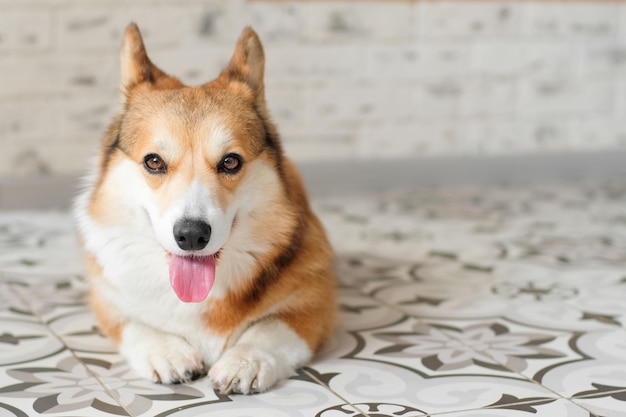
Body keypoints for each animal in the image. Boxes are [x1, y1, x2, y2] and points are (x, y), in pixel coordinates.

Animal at [72, 23, 334, 394]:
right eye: (154, 162)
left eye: (230, 161)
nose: (192, 235)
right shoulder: (108, 301)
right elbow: (135, 323)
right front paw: (166, 352)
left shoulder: (314, 303)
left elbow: (271, 328)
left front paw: (245, 362)